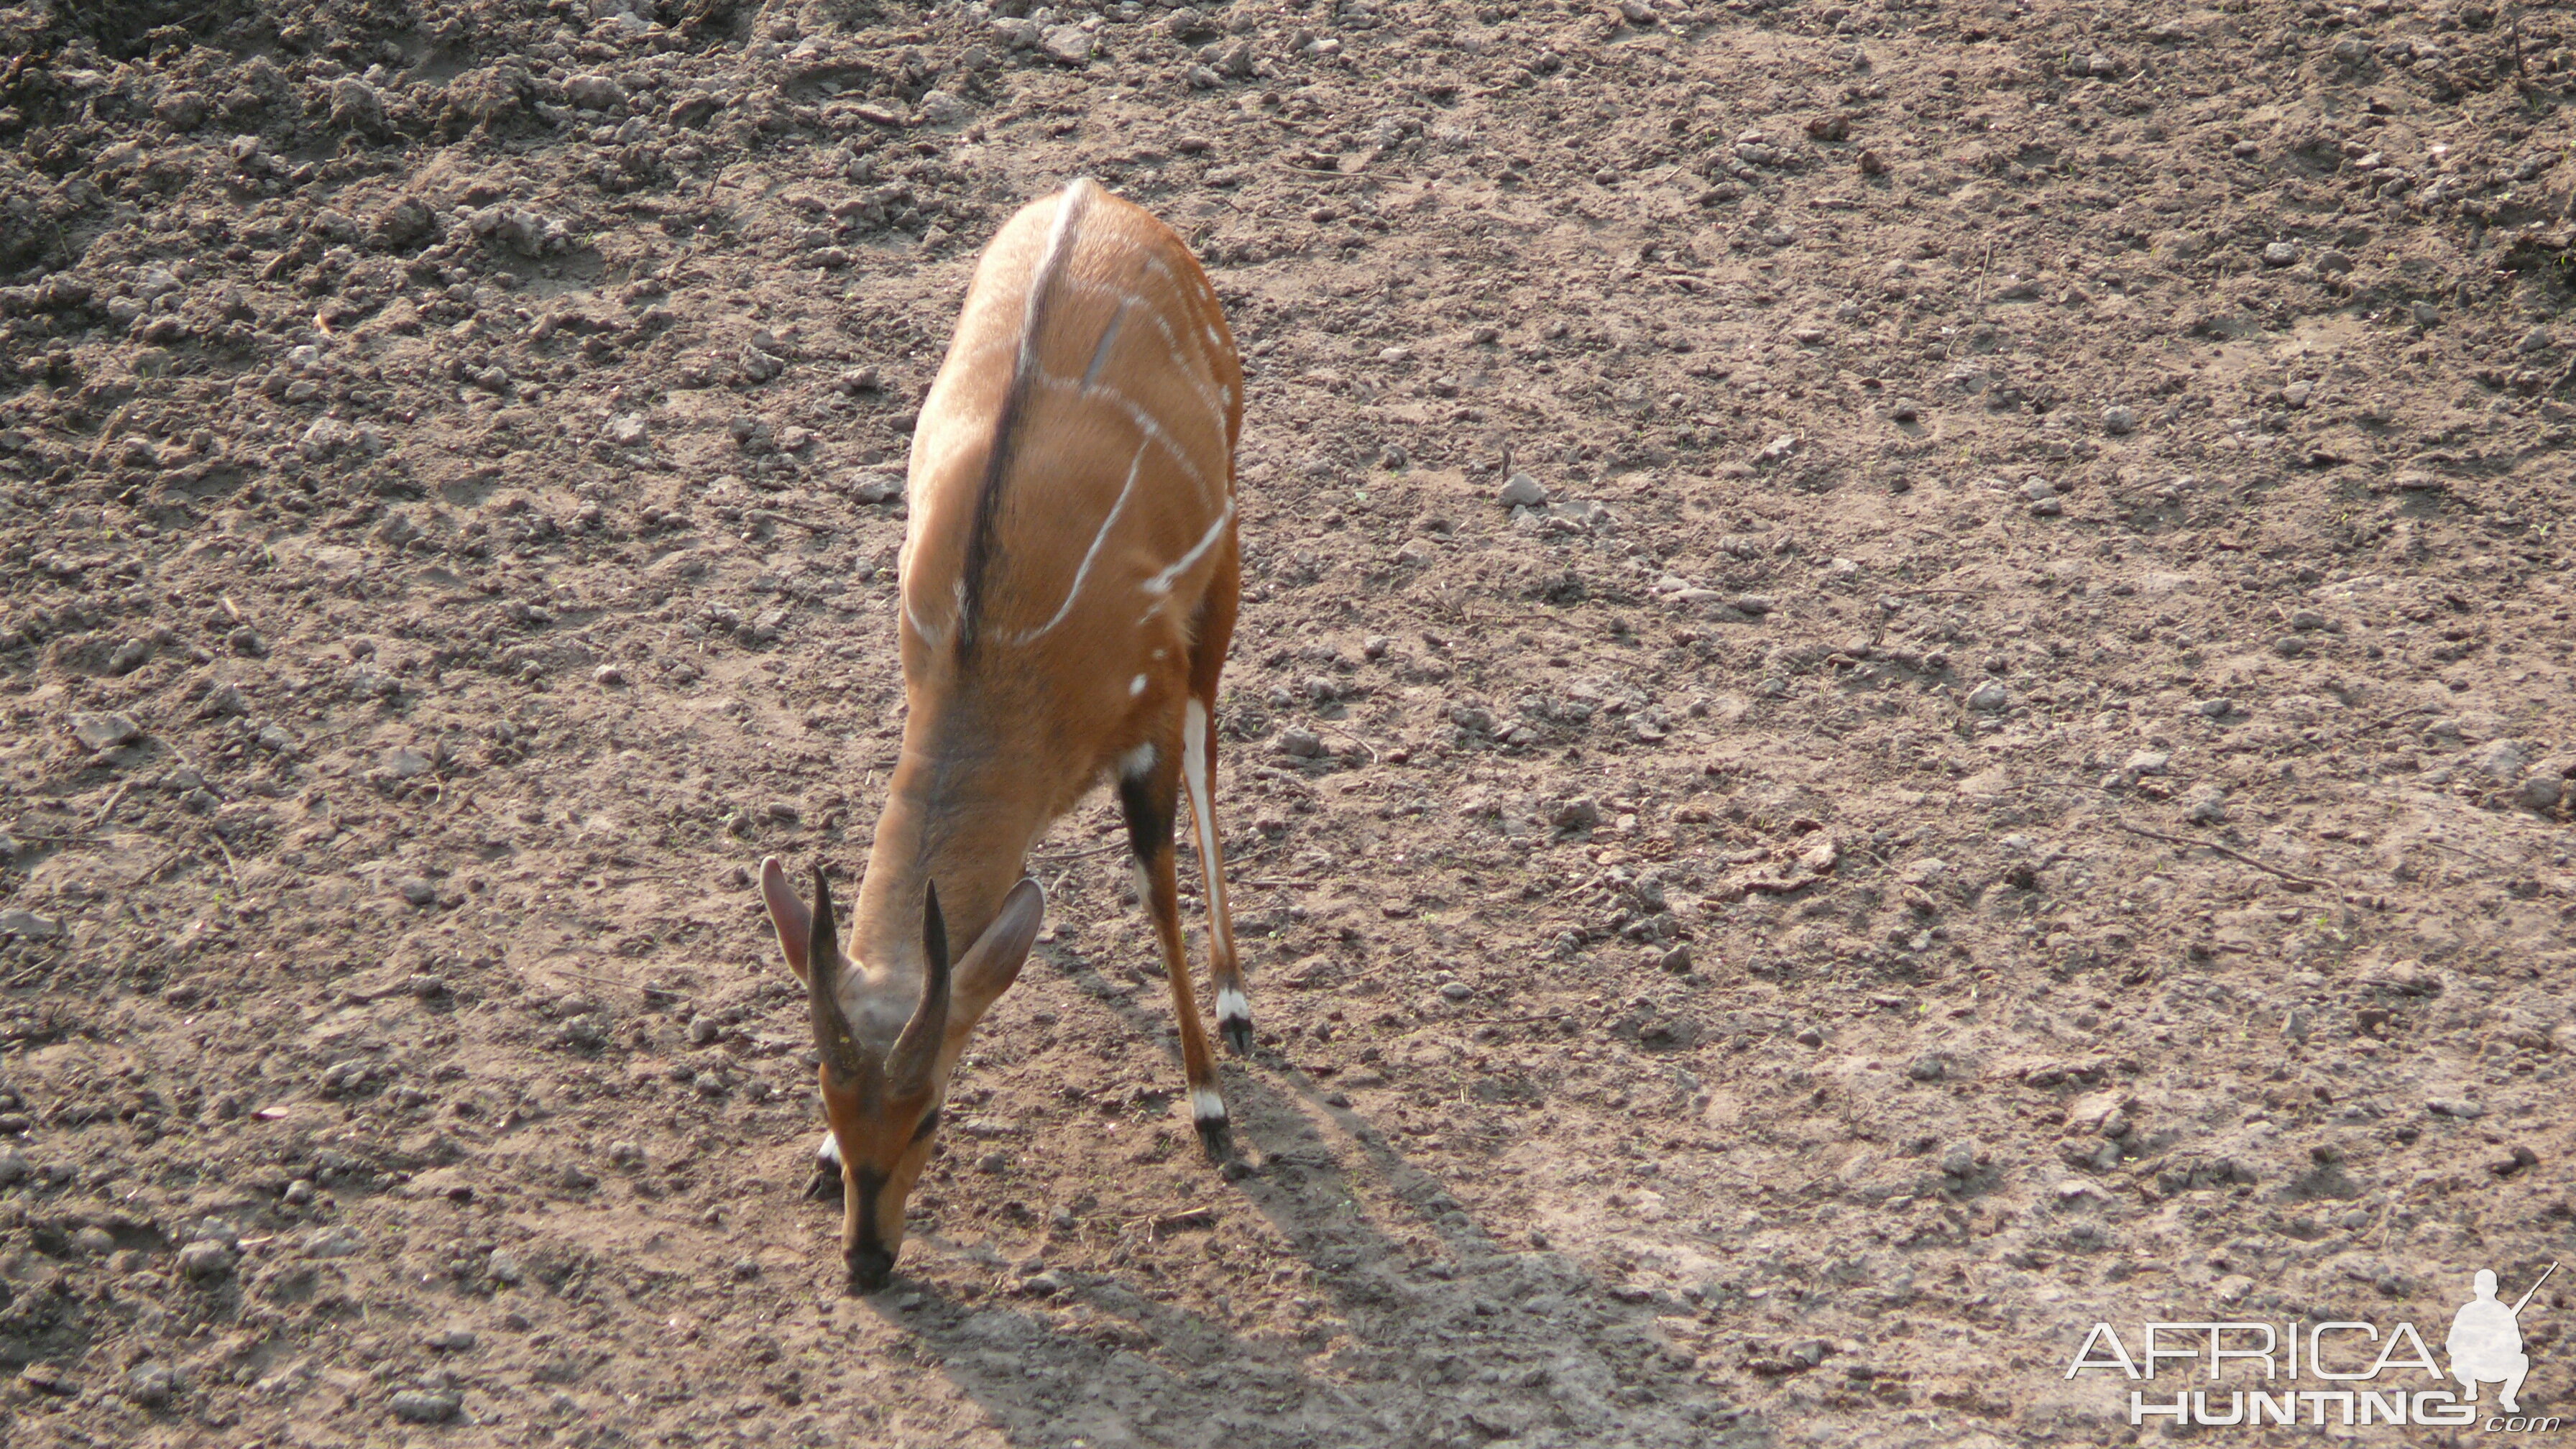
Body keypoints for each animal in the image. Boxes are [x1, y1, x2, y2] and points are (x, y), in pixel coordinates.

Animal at [752, 178, 1246, 1284]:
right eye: (828, 1102)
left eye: (934, 1114)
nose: (866, 1260)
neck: (997, 641)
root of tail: (1093, 191)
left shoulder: (1148, 715)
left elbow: (1155, 888)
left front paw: (1208, 1103)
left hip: (1225, 570)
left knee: (1212, 754)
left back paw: (1238, 999)